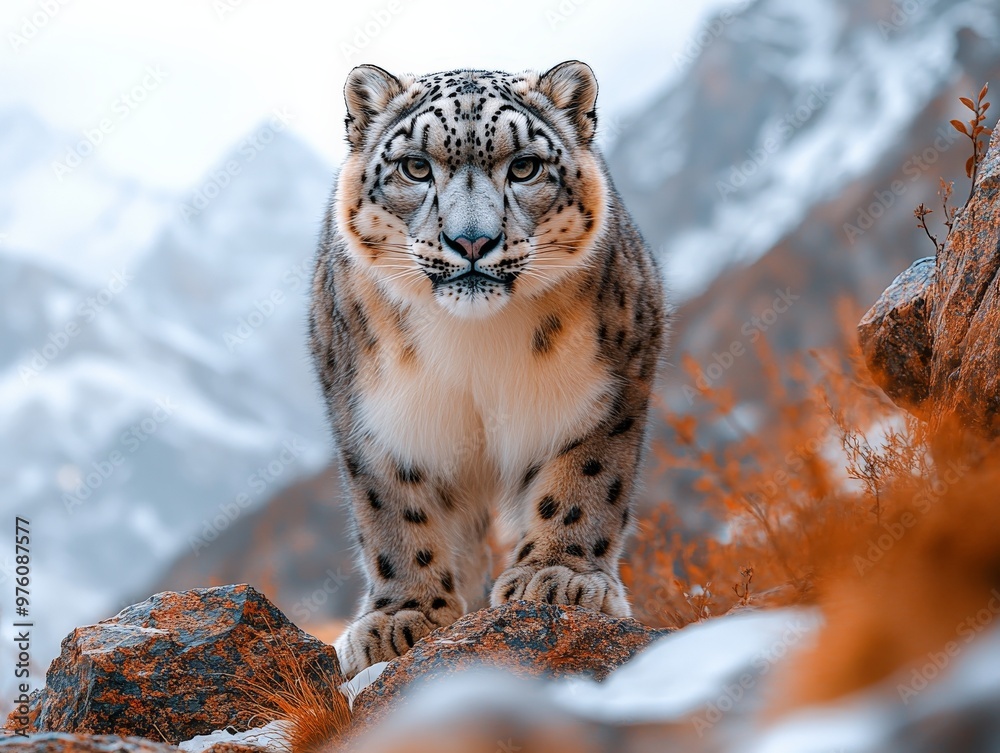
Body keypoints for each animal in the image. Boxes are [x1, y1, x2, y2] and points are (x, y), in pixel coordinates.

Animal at [308, 60, 667, 679]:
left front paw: (557, 577)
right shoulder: (375, 419)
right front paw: (402, 617)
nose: (472, 241)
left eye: (524, 166)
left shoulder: (605, 387)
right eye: (415, 166)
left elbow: (585, 479)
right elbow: (393, 511)